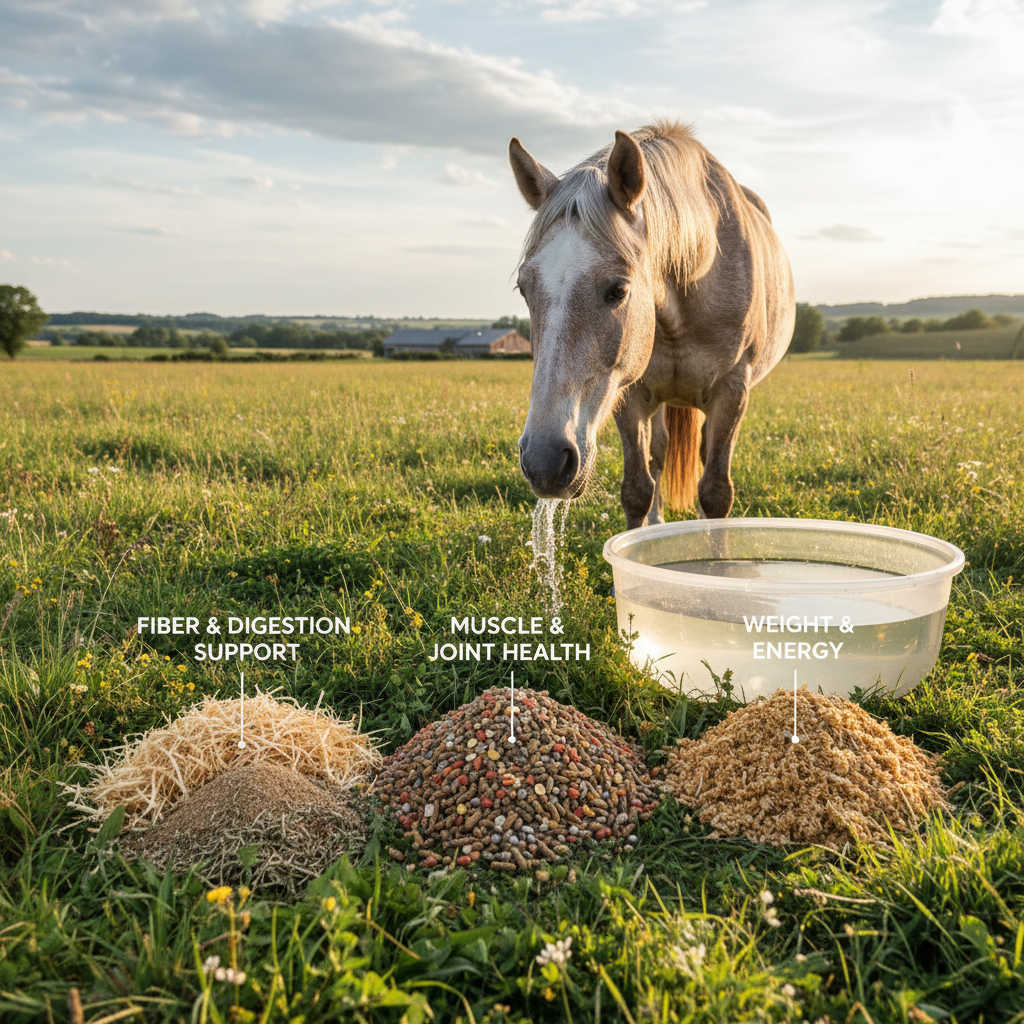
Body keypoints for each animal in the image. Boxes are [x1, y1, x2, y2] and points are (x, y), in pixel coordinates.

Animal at [509, 121, 795, 528]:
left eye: (618, 289)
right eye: (524, 288)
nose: (544, 462)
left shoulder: (732, 391)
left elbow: (716, 492)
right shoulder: (627, 392)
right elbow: (637, 489)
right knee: (659, 450)